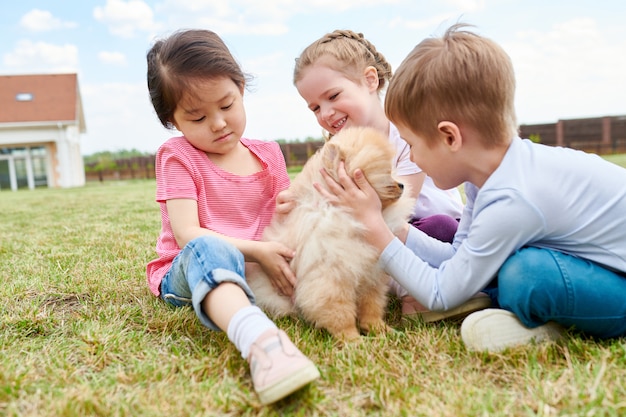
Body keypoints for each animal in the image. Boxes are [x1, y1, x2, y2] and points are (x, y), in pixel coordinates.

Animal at [245, 127, 414, 342]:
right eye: (384, 172)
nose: (401, 185)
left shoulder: (372, 273)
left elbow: (371, 305)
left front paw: (379, 329)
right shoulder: (330, 274)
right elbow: (339, 312)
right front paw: (353, 340)